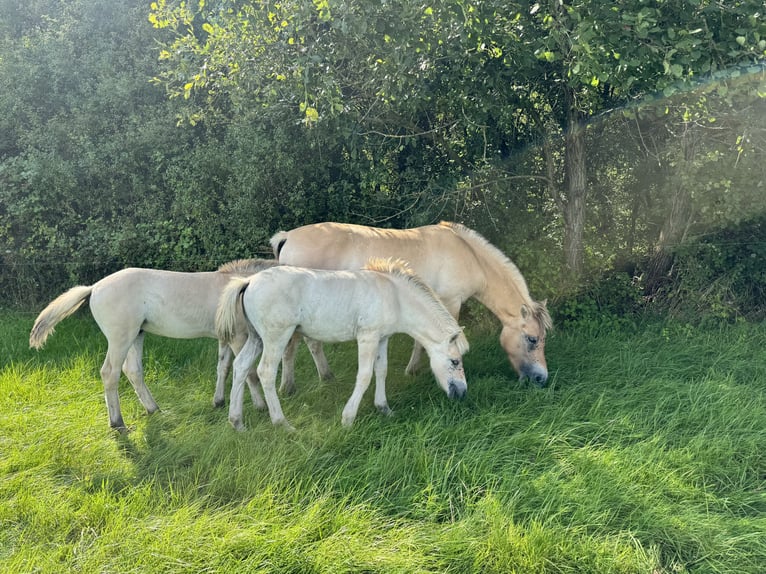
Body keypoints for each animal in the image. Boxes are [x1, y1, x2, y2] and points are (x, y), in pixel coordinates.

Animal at [27, 260, 332, 432]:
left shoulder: (224, 339)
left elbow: (223, 368)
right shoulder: (237, 337)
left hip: (136, 336)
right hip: (120, 338)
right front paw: (257, 407)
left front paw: (219, 402)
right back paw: (118, 423)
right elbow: (250, 374)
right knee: (110, 373)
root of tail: (94, 287)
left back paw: (154, 409)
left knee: (133, 371)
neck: (242, 286)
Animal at [213, 258, 472, 430]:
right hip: (276, 338)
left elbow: (381, 370)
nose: (461, 392)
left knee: (240, 367)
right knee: (265, 372)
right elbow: (365, 375)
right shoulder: (367, 337)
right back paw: (282, 423)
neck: (394, 295)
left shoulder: (381, 338)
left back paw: (237, 421)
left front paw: (384, 408)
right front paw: (348, 419)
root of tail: (248, 280)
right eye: (454, 361)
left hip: (256, 338)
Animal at [272, 220, 556, 388]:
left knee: (310, 343)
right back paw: (288, 387)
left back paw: (325, 377)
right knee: (292, 347)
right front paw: (418, 369)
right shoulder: (449, 303)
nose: (541, 378)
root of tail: (288, 236)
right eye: (532, 339)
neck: (468, 255)